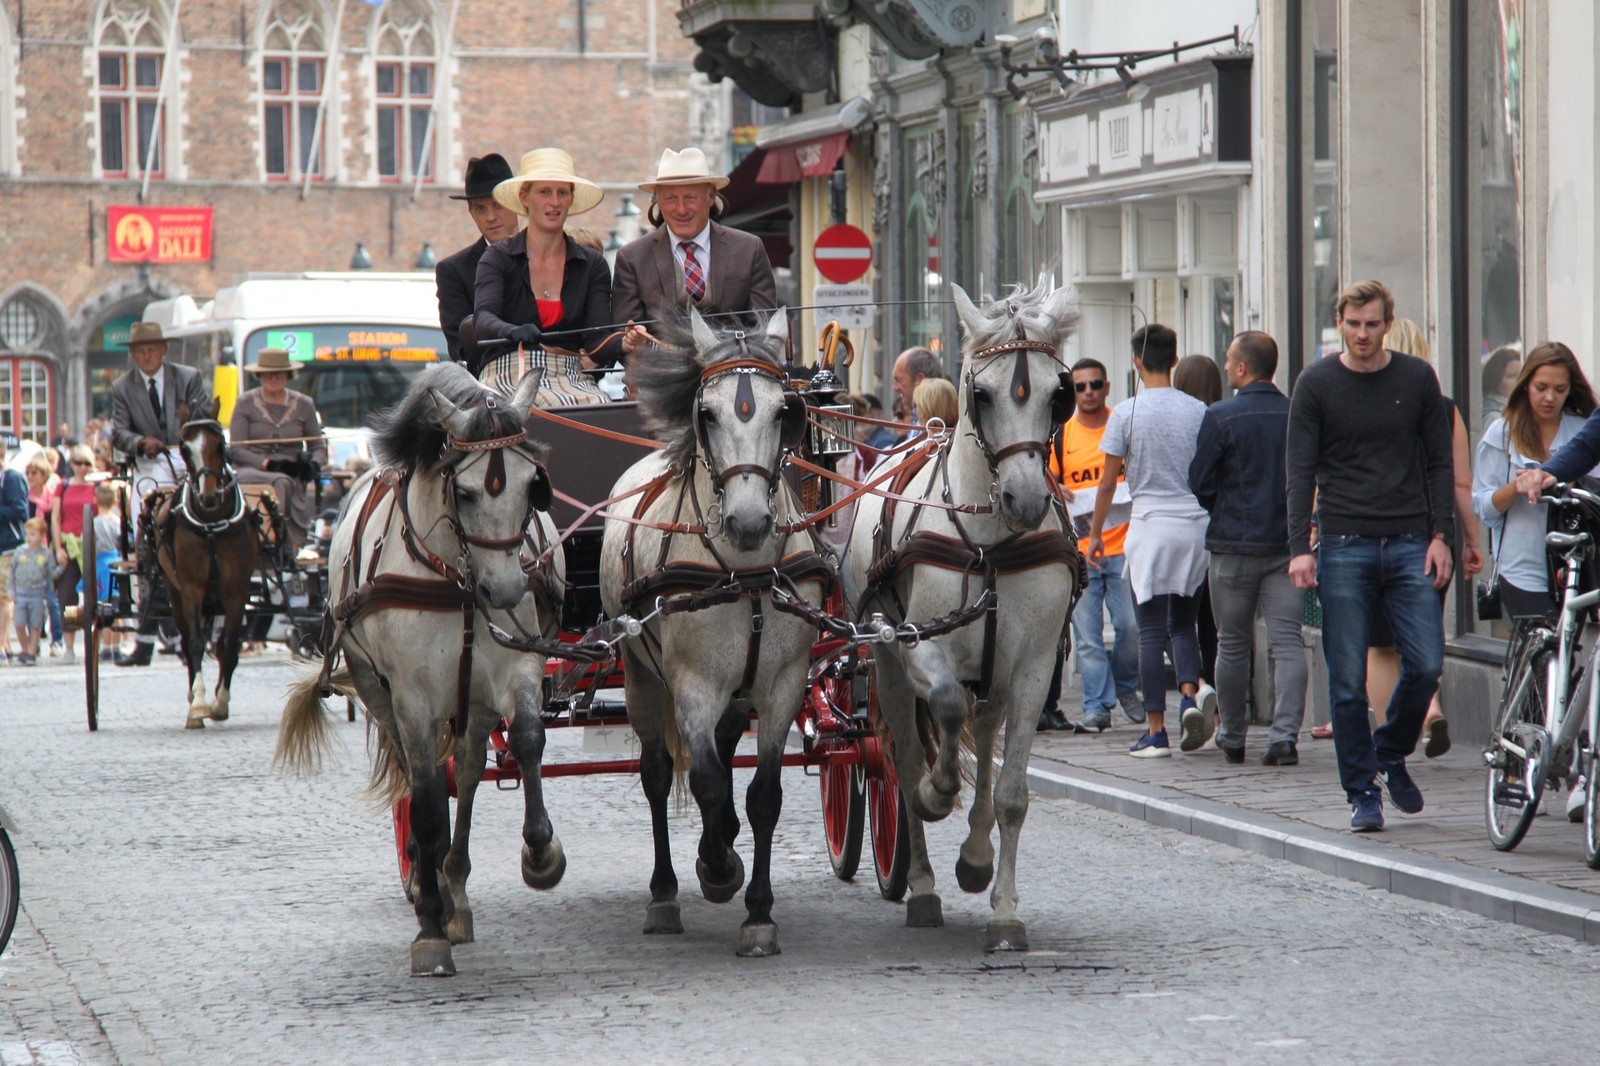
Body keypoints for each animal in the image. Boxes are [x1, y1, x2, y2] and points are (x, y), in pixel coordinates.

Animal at [153, 403, 262, 726]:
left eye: (220, 443)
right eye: (185, 448)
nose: (210, 496)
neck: (212, 524)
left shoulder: (236, 591)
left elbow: (229, 646)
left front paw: (220, 702)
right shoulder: (191, 588)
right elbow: (196, 644)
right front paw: (199, 703)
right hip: (174, 591)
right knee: (187, 641)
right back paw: (193, 697)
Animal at [278, 363, 566, 973]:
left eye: (533, 485)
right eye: (464, 490)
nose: (505, 592)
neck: (456, 579)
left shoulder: (517, 669)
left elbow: (528, 740)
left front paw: (540, 852)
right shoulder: (412, 696)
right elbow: (429, 801)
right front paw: (429, 921)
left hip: (471, 702)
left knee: (471, 769)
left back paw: (454, 882)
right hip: (379, 692)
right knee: (418, 778)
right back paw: (427, 882)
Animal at [598, 308, 832, 953]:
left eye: (785, 411)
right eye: (707, 414)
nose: (749, 523)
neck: (744, 572)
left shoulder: (783, 684)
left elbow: (763, 795)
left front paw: (758, 912)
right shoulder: (692, 687)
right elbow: (703, 780)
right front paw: (718, 868)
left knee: (727, 748)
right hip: (640, 676)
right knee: (657, 775)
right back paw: (665, 893)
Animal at [844, 280, 1081, 947]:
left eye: (1060, 394)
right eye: (983, 393)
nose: (1025, 499)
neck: (991, 542)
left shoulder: (1032, 669)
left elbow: (1013, 794)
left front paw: (1001, 908)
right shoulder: (921, 643)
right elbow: (941, 720)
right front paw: (935, 793)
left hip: (993, 676)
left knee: (983, 733)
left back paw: (973, 859)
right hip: (885, 658)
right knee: (902, 754)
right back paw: (922, 886)